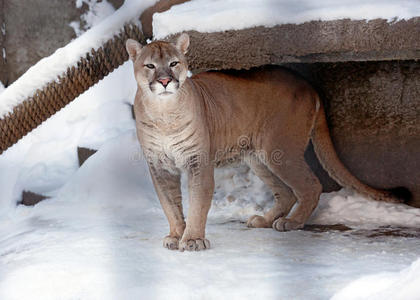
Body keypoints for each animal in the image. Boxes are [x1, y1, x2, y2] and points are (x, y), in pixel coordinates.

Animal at [125, 34, 400, 252]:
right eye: (150, 65)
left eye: (174, 63)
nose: (164, 81)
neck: (164, 114)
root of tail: (308, 86)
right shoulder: (159, 167)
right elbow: (170, 205)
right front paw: (175, 235)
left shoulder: (198, 162)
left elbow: (197, 204)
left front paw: (193, 240)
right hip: (259, 158)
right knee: (286, 193)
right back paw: (265, 221)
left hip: (280, 149)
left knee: (310, 186)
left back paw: (291, 222)